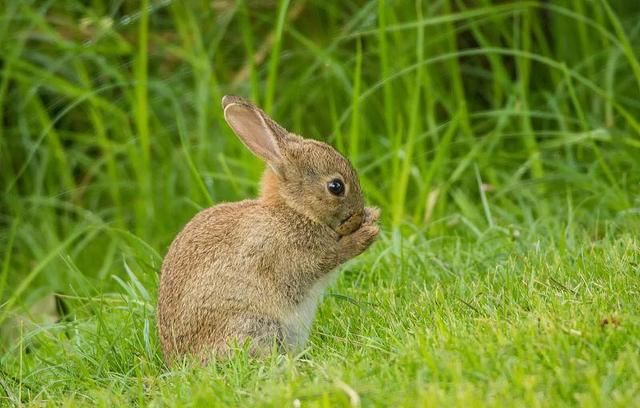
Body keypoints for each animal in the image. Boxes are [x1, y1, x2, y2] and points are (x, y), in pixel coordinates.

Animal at [157, 96, 378, 364]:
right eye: (336, 187)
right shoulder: (294, 256)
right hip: (254, 325)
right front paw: (368, 232)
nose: (358, 215)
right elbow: (331, 256)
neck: (293, 210)